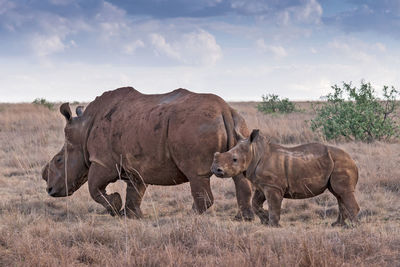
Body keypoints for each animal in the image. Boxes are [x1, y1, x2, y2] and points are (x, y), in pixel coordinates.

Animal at [40, 87, 253, 221]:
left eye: (59, 160)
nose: (49, 190)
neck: (83, 131)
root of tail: (224, 110)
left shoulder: (103, 161)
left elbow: (94, 188)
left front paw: (115, 207)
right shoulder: (136, 165)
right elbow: (135, 191)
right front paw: (131, 216)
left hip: (197, 125)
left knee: (196, 175)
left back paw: (190, 216)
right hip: (239, 123)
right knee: (240, 175)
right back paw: (242, 219)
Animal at [211, 130, 360, 228]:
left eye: (234, 159)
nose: (215, 169)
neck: (255, 152)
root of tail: (352, 160)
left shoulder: (273, 187)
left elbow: (274, 205)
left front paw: (273, 225)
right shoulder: (262, 185)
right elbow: (255, 204)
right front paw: (265, 220)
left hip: (341, 163)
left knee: (343, 192)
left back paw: (353, 227)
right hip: (337, 163)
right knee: (339, 195)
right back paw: (337, 225)